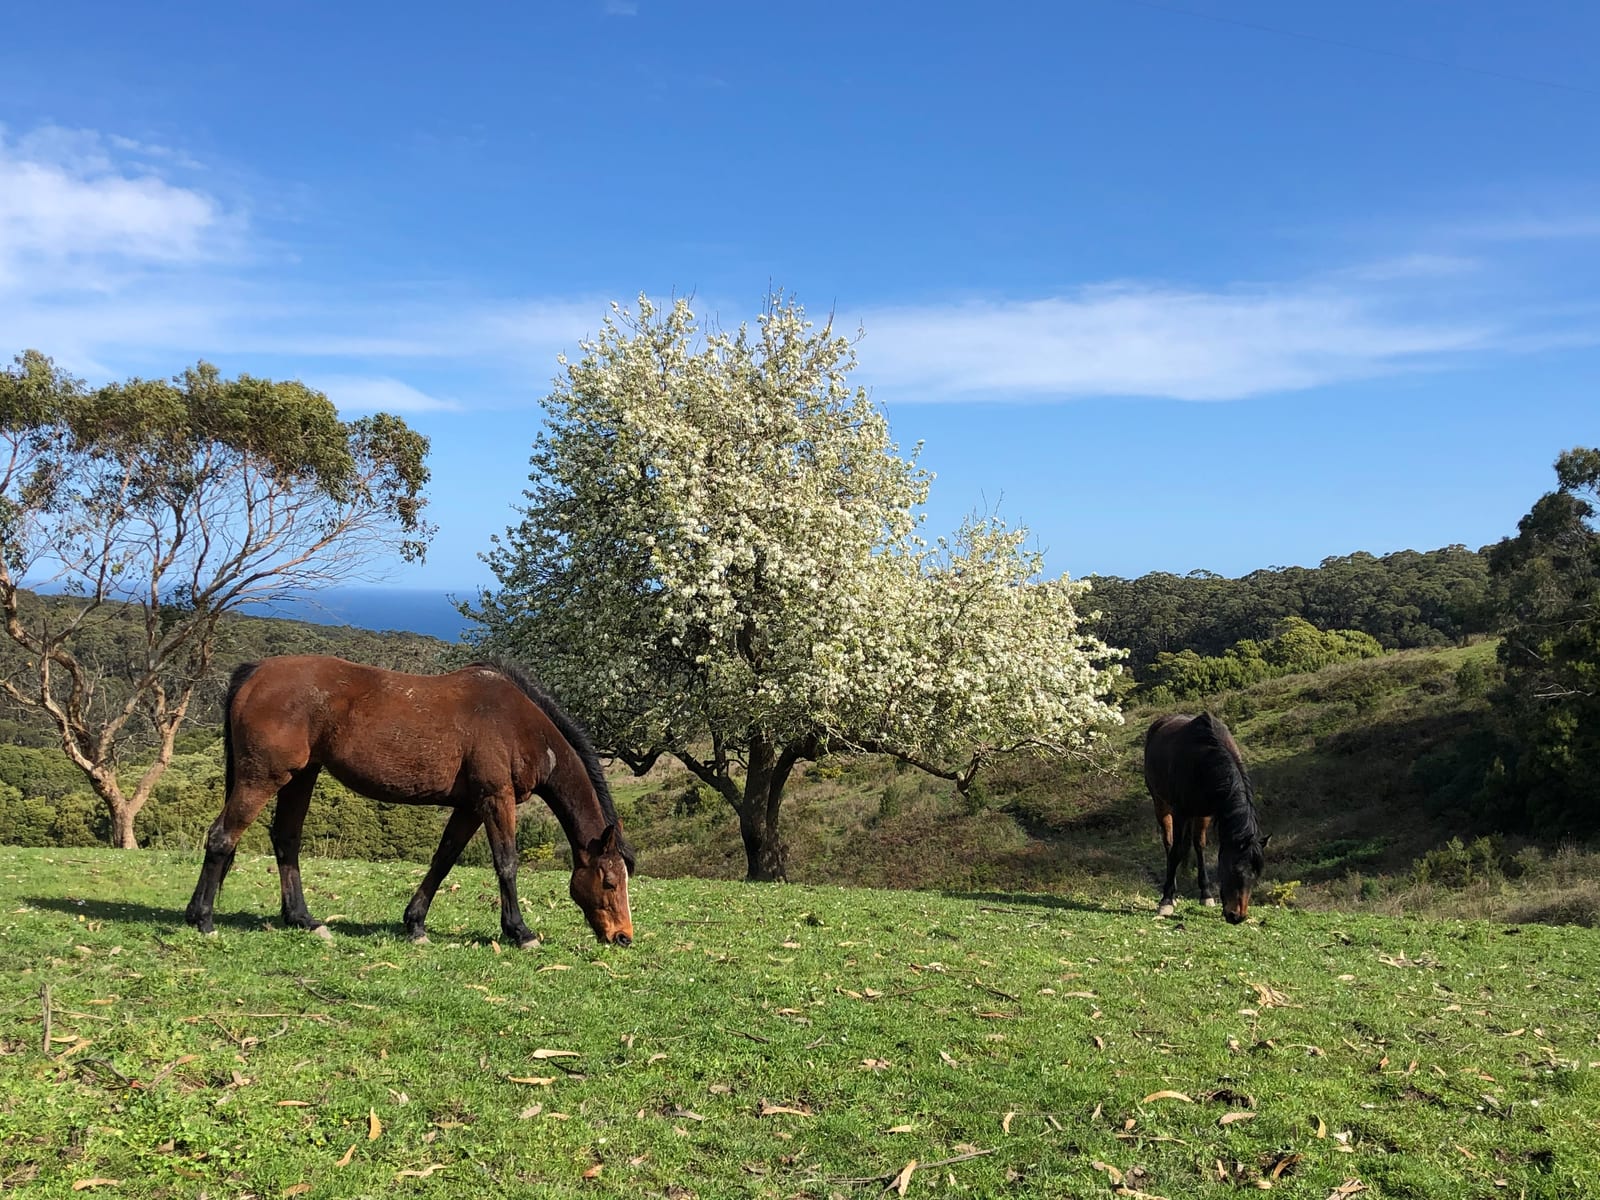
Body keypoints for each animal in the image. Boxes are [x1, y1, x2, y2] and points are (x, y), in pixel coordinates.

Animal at [184, 655, 635, 948]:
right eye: (609, 882)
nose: (623, 937)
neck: (516, 724)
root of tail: (256, 672)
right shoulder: (495, 799)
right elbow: (506, 863)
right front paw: (520, 932)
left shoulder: (470, 806)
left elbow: (443, 859)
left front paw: (415, 924)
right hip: (263, 777)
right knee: (222, 836)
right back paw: (202, 919)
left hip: (302, 777)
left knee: (286, 840)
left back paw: (303, 920)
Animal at [1142, 712, 1267, 924]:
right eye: (1234, 870)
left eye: (1256, 875)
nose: (1237, 916)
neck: (1204, 760)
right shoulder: (1181, 812)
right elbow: (1176, 850)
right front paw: (1166, 901)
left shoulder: (1205, 813)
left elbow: (1200, 845)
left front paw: (1206, 895)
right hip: (1161, 803)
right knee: (1168, 843)